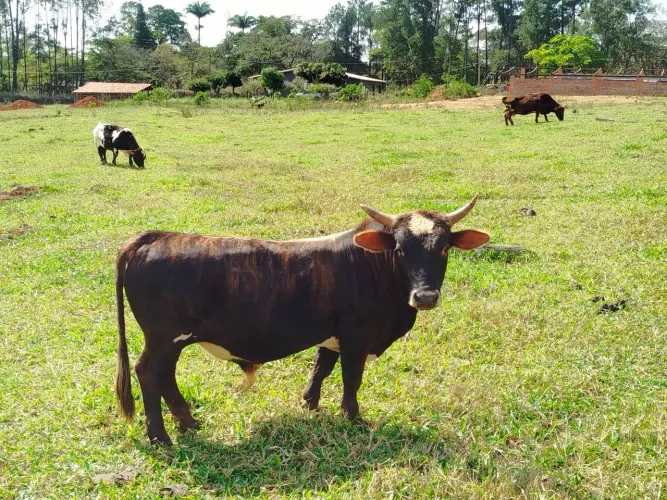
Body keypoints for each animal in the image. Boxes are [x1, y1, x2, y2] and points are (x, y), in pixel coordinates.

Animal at [115, 196, 490, 445]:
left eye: (444, 248)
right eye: (400, 249)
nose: (425, 297)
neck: (373, 265)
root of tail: (153, 238)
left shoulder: (333, 336)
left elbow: (321, 368)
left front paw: (310, 403)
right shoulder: (356, 337)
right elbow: (351, 379)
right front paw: (353, 417)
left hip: (171, 341)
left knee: (165, 377)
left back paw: (188, 422)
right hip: (164, 338)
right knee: (149, 373)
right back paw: (160, 436)